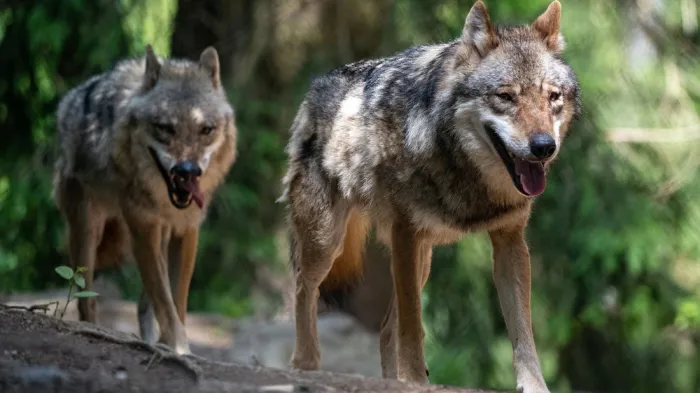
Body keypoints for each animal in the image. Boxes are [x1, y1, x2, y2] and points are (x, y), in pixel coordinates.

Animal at [52, 43, 238, 352]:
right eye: (165, 128)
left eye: (206, 130)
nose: (187, 171)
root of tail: (69, 100)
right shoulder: (143, 227)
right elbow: (165, 302)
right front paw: (178, 346)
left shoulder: (186, 230)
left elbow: (177, 300)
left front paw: (174, 345)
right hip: (87, 234)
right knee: (86, 300)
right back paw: (94, 328)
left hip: (156, 236)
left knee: (142, 305)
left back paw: (151, 340)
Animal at [282, 1, 584, 390]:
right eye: (505, 96)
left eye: (553, 97)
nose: (544, 147)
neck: (464, 170)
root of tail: (318, 84)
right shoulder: (405, 235)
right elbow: (413, 328)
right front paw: (414, 380)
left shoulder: (510, 242)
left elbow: (523, 332)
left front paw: (534, 385)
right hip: (327, 244)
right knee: (304, 289)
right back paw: (306, 364)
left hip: (420, 258)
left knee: (385, 329)